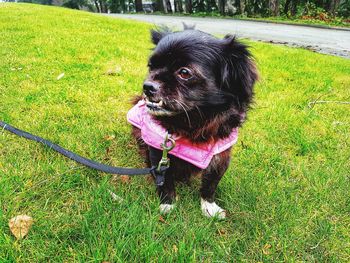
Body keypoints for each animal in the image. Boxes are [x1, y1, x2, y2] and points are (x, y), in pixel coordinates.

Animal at [130, 26, 258, 219]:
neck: (192, 123)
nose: (147, 86)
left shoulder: (220, 157)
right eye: (151, 66)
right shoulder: (159, 152)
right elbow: (165, 181)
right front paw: (167, 204)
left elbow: (210, 183)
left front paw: (209, 206)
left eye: (184, 72)